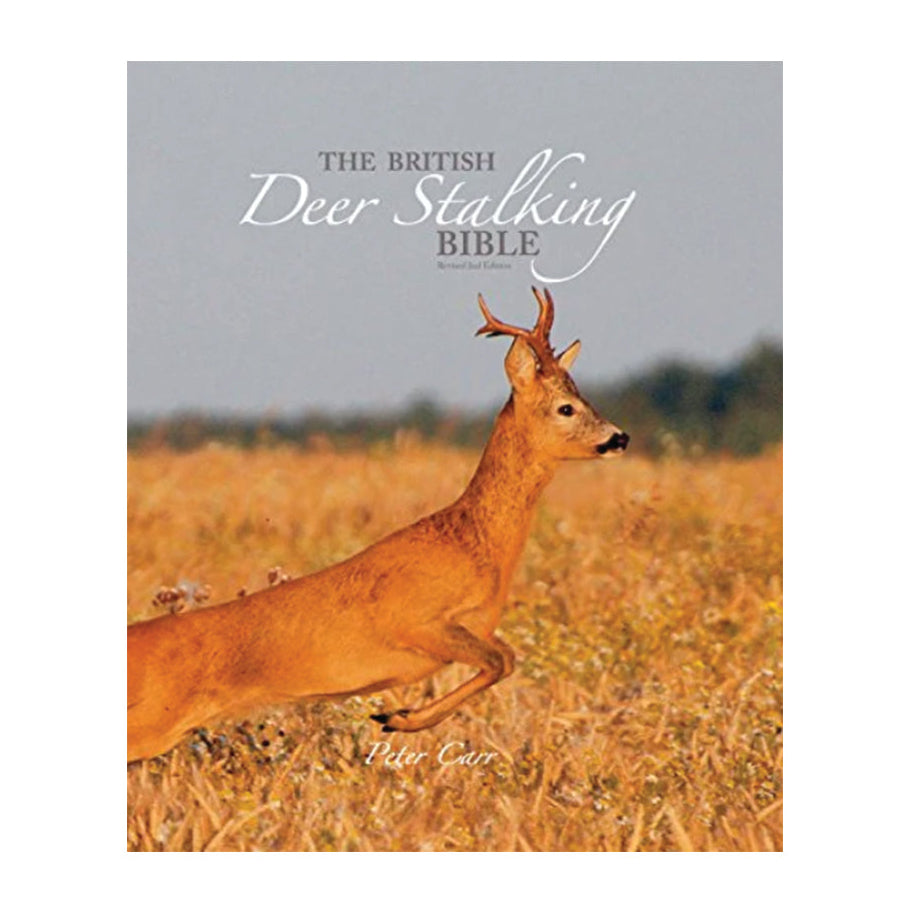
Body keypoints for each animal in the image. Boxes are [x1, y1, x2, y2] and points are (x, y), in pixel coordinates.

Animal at [127, 288, 629, 762]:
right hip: (153, 720)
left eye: (586, 398)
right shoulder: (416, 621)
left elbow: (506, 657)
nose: (620, 438)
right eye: (566, 407)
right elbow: (498, 662)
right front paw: (397, 717)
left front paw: (397, 716)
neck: (472, 543)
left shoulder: (477, 627)